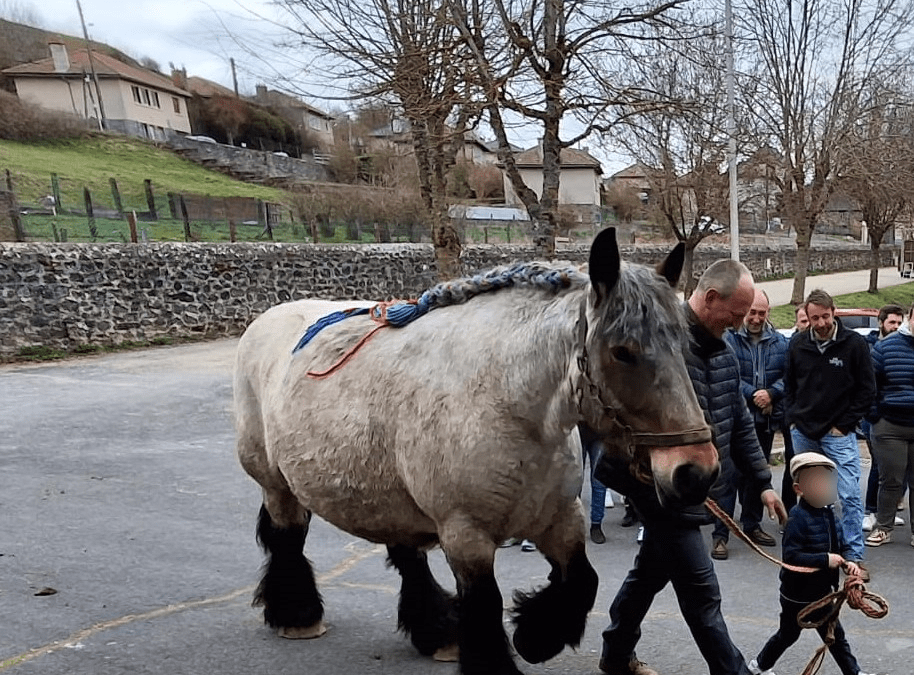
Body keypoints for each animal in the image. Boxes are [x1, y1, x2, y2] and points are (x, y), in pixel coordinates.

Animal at [233, 227, 719, 675]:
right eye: (622, 352)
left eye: (684, 344)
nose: (695, 471)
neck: (505, 402)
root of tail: (267, 319)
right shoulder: (466, 535)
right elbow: (485, 605)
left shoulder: (561, 518)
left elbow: (583, 580)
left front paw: (535, 636)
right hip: (277, 485)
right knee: (288, 537)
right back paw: (298, 615)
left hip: (389, 497)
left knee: (406, 556)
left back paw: (436, 632)